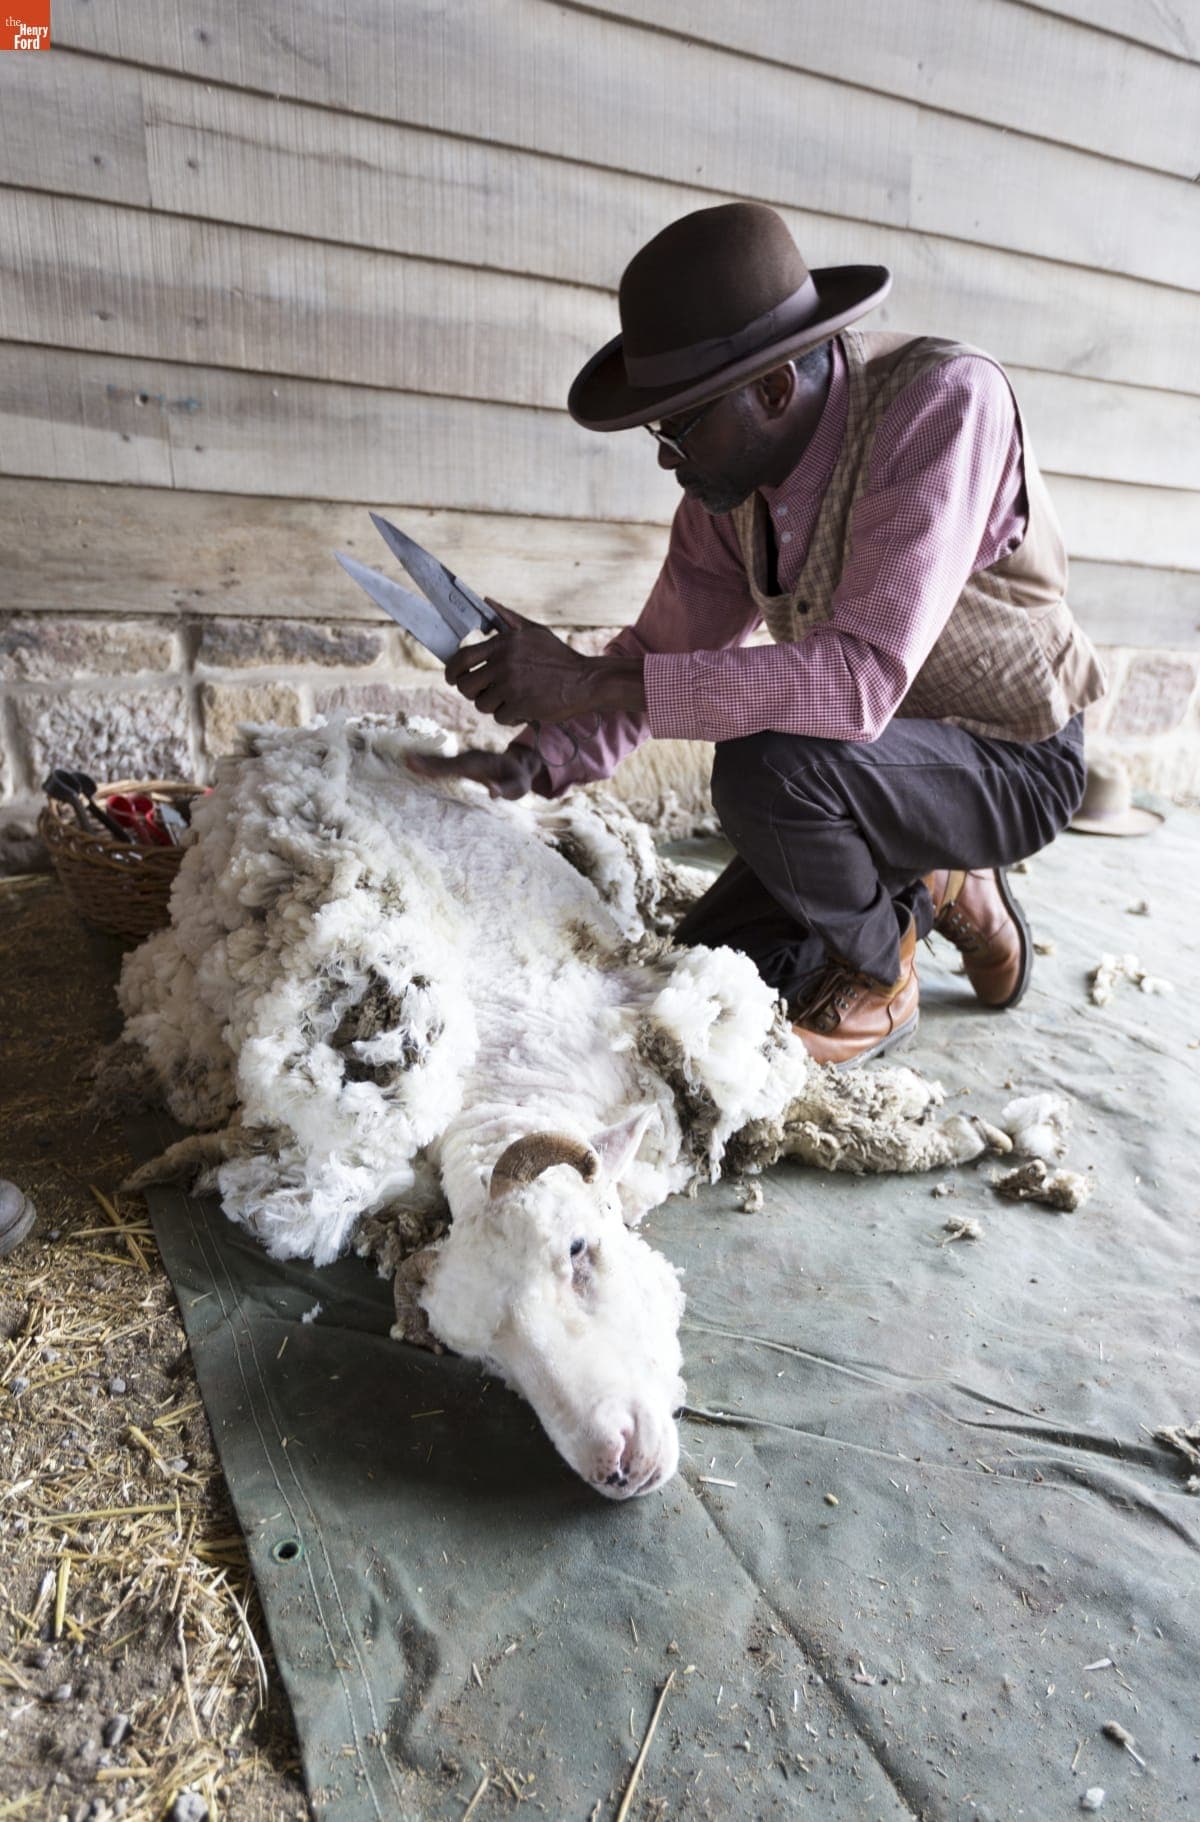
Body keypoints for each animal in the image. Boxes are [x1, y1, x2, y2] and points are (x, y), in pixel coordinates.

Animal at [116, 715, 1002, 1500]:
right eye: (483, 1356)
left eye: (579, 1250)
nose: (616, 1462)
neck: (506, 1074)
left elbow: (823, 1108)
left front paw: (949, 1127)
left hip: (572, 822)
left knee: (664, 879)